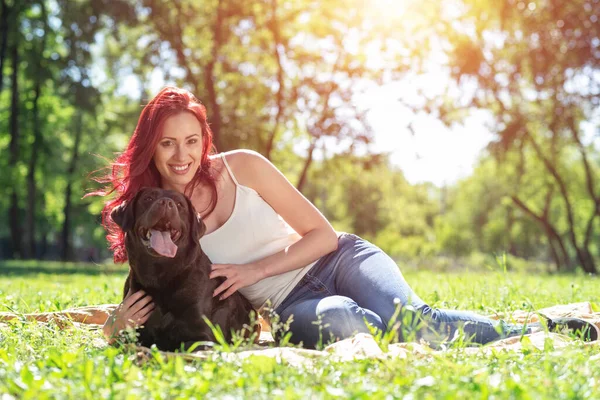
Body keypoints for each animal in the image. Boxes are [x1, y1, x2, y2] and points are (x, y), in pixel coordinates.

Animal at [110, 188, 255, 350]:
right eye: (148, 198)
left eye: (179, 204)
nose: (166, 202)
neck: (160, 275)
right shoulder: (132, 333)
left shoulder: (204, 338)